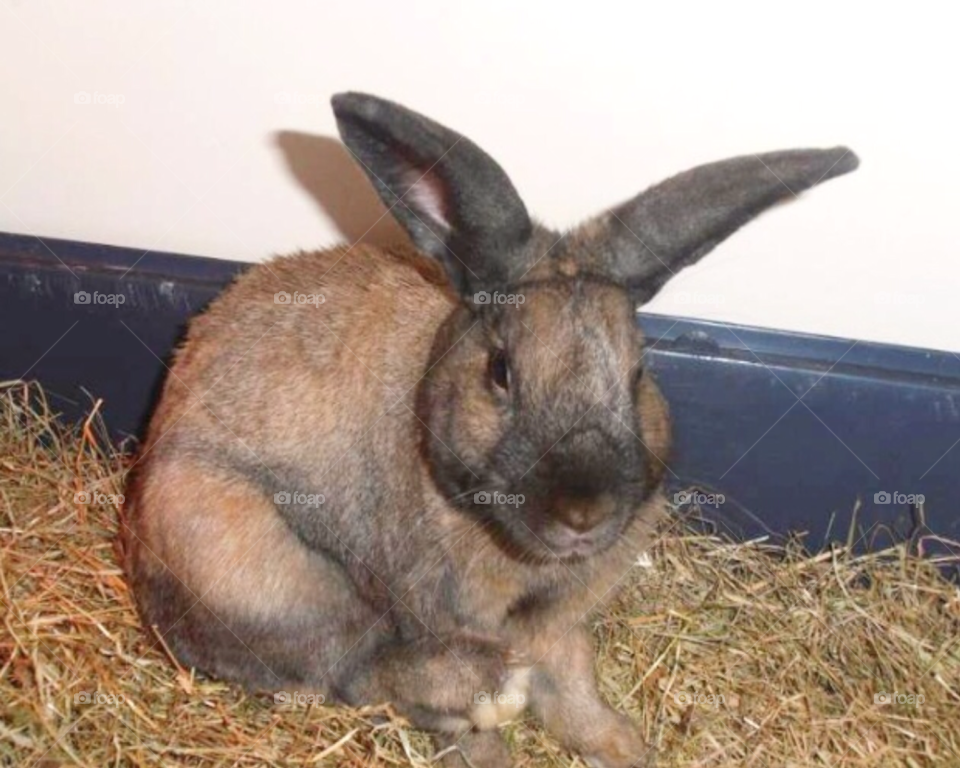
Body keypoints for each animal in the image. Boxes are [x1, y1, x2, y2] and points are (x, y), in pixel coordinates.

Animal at [122, 91, 858, 767]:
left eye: (638, 372)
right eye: (501, 371)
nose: (583, 513)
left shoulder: (557, 625)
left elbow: (574, 679)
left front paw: (622, 747)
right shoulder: (435, 605)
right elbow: (449, 716)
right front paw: (498, 741)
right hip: (253, 563)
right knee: (350, 666)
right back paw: (483, 685)